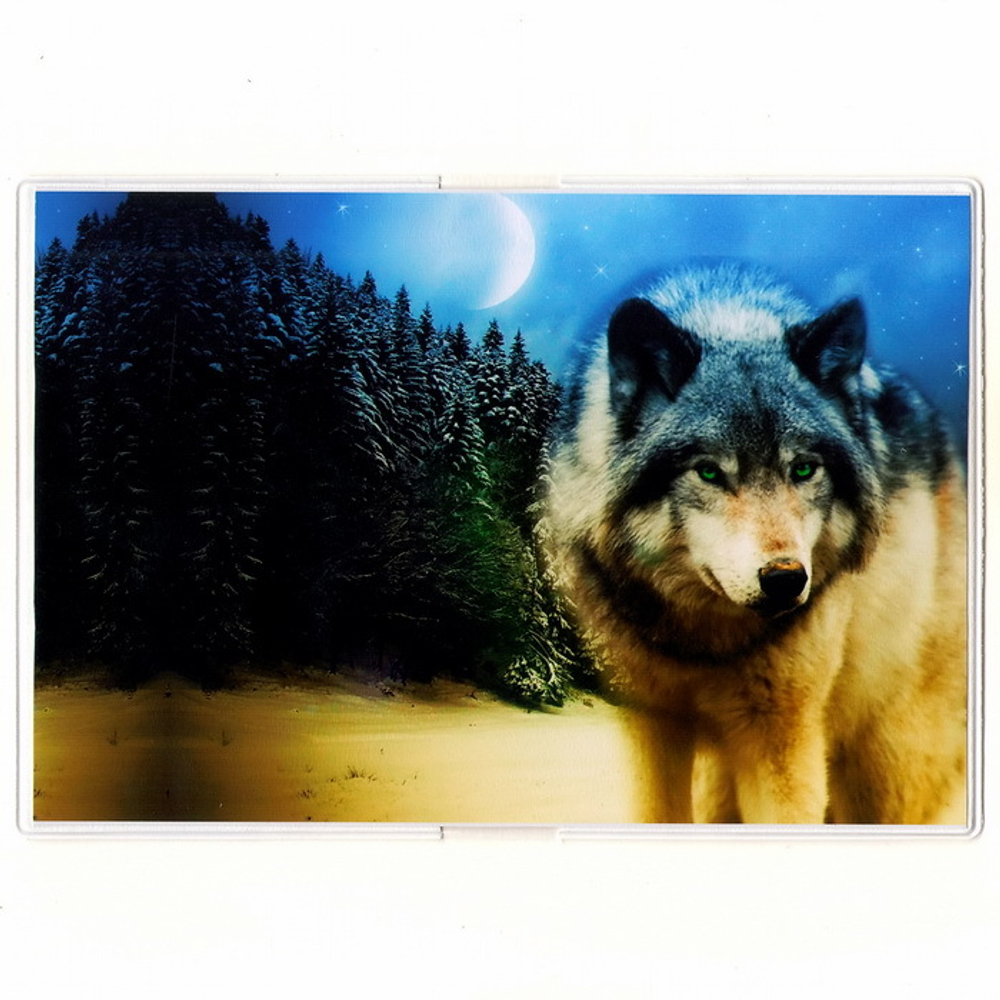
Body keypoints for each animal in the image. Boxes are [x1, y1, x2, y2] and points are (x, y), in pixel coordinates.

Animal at [545, 264, 967, 824]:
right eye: (708, 472)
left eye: (804, 469)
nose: (786, 579)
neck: (703, 645)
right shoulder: (650, 724)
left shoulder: (781, 734)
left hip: (887, 762)